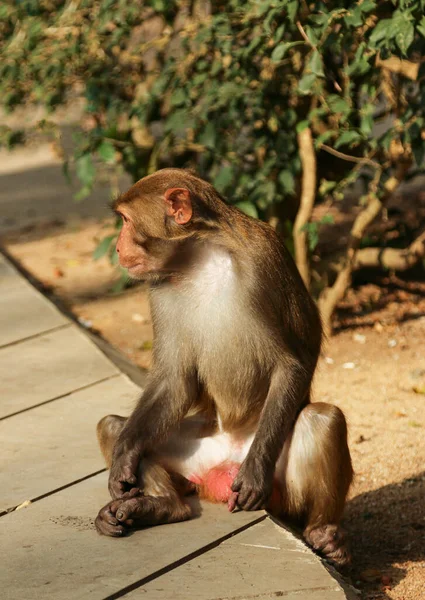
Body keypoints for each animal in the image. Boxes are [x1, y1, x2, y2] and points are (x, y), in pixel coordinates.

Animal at [95, 166, 352, 564]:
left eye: (125, 220)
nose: (119, 247)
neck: (199, 258)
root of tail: (227, 462)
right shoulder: (158, 288)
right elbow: (175, 381)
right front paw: (124, 456)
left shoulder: (262, 259)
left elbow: (290, 363)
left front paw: (255, 475)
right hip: (196, 458)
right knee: (113, 425)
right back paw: (161, 505)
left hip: (280, 478)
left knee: (324, 419)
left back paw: (323, 532)